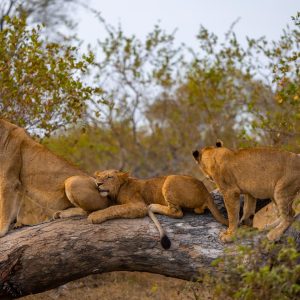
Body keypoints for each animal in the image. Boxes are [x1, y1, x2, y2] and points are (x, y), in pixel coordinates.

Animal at [86, 169, 227, 248]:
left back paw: (154, 206)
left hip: (170, 179)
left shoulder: (139, 205)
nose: (98, 184)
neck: (118, 189)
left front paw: (94, 216)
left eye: (109, 177)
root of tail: (205, 191)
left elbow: (115, 208)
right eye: (98, 177)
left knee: (177, 212)